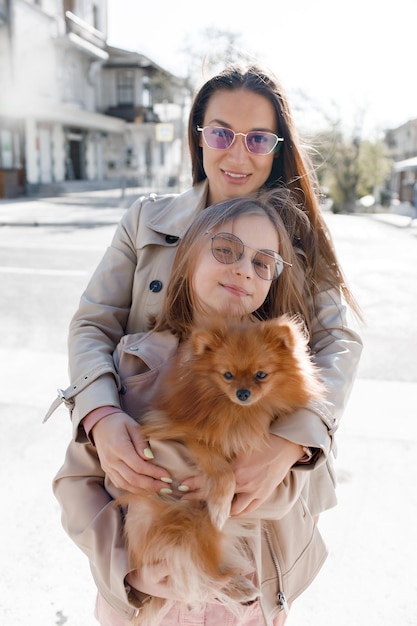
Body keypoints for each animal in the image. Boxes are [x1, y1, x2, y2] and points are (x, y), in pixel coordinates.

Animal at [118, 314, 324, 620]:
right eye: (227, 375)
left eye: (261, 375)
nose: (243, 393)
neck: (238, 412)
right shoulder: (182, 433)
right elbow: (222, 469)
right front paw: (220, 505)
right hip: (191, 526)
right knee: (198, 574)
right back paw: (240, 589)